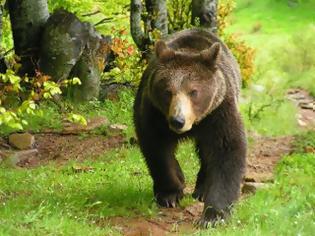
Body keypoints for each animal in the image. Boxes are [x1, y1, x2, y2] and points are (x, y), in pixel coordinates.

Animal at [133, 29, 247, 227]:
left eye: (194, 91)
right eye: (168, 91)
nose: (177, 120)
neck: (195, 123)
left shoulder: (218, 112)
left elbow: (227, 150)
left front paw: (213, 215)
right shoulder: (154, 113)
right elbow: (157, 149)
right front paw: (170, 194)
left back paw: (202, 190)